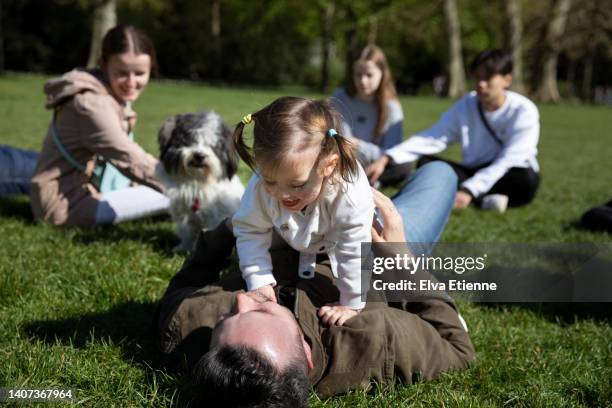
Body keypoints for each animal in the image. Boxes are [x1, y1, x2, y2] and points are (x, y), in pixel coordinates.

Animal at [158, 111, 244, 252]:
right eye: (188, 140)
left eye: (213, 146)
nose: (199, 155)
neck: (198, 182)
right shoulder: (184, 214)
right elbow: (187, 232)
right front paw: (183, 248)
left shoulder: (216, 216)